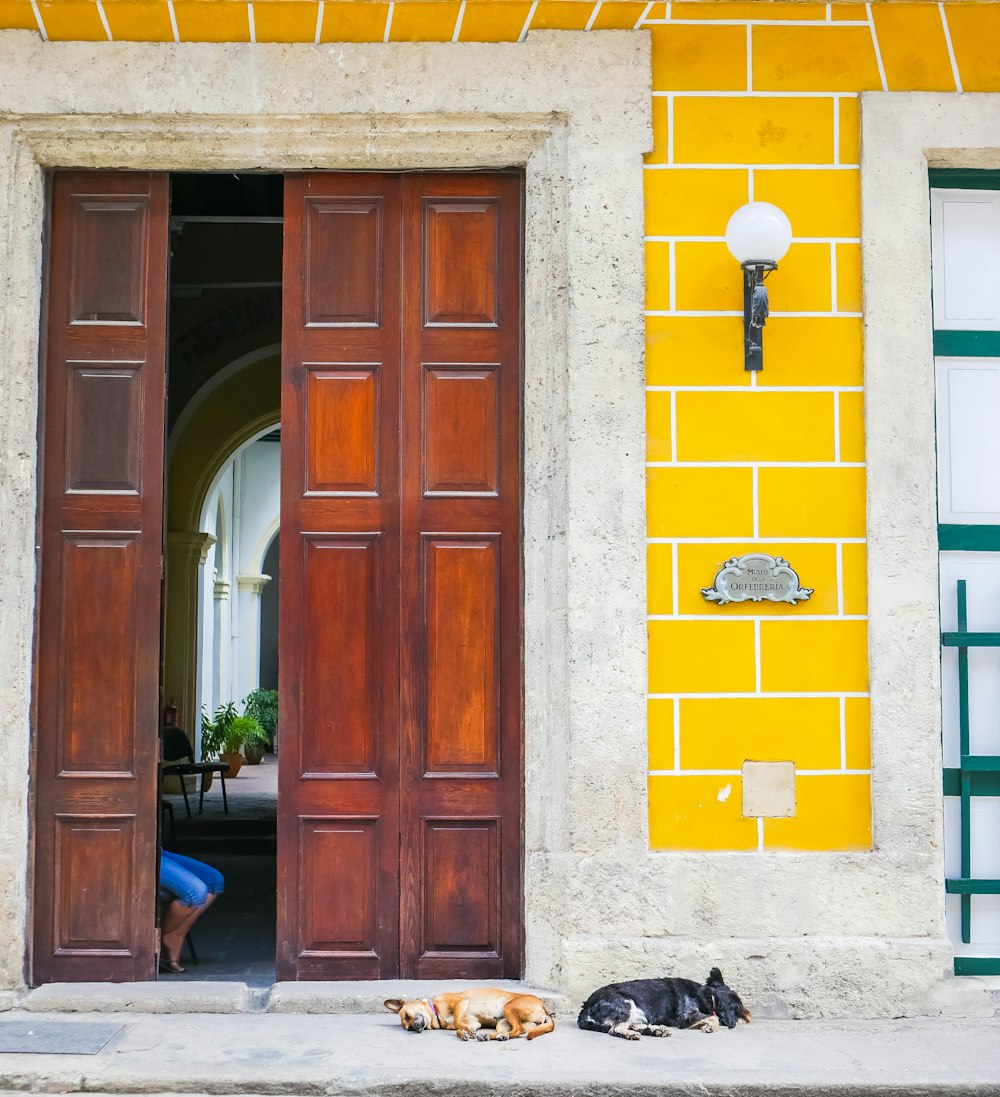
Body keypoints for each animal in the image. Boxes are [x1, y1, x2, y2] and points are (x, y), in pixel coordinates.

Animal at [578, 969, 750, 1035]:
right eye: (739, 1009)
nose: (749, 1017)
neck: (707, 995)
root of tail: (584, 1010)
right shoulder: (686, 1015)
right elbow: (714, 1017)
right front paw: (710, 1026)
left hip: (637, 1013)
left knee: (632, 1025)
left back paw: (656, 1030)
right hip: (625, 1005)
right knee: (615, 1029)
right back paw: (633, 1034)